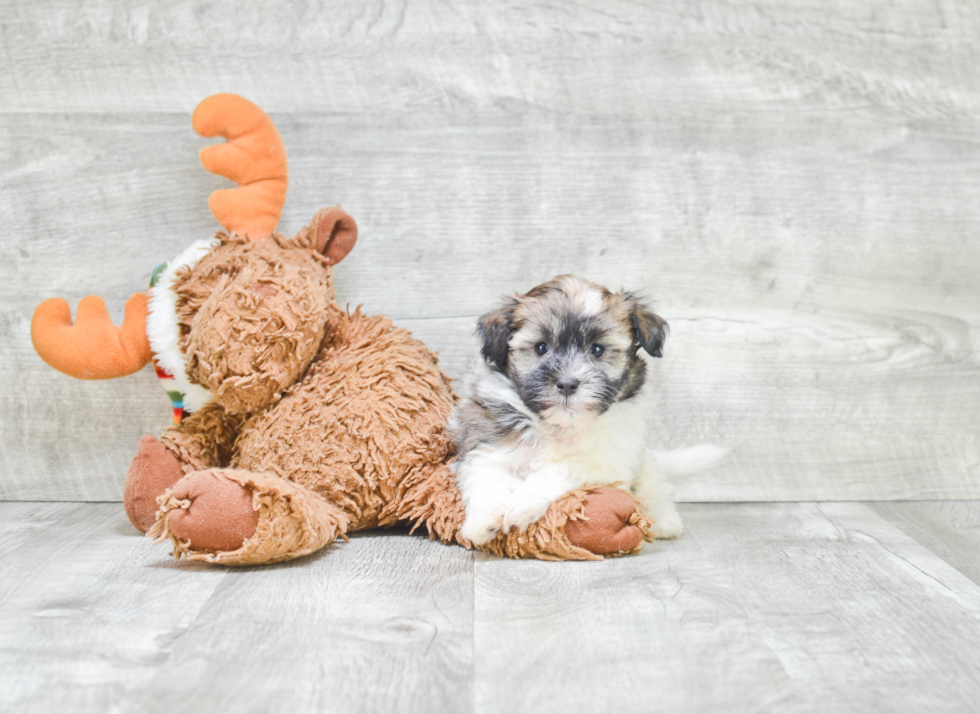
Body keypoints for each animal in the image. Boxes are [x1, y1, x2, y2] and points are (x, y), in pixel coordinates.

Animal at [448, 272, 716, 544]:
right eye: (541, 347)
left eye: (597, 349)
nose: (567, 383)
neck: (561, 426)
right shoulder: (489, 442)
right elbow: (487, 475)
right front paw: (483, 522)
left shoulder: (607, 460)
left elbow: (562, 468)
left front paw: (523, 504)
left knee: (654, 486)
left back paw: (663, 519)